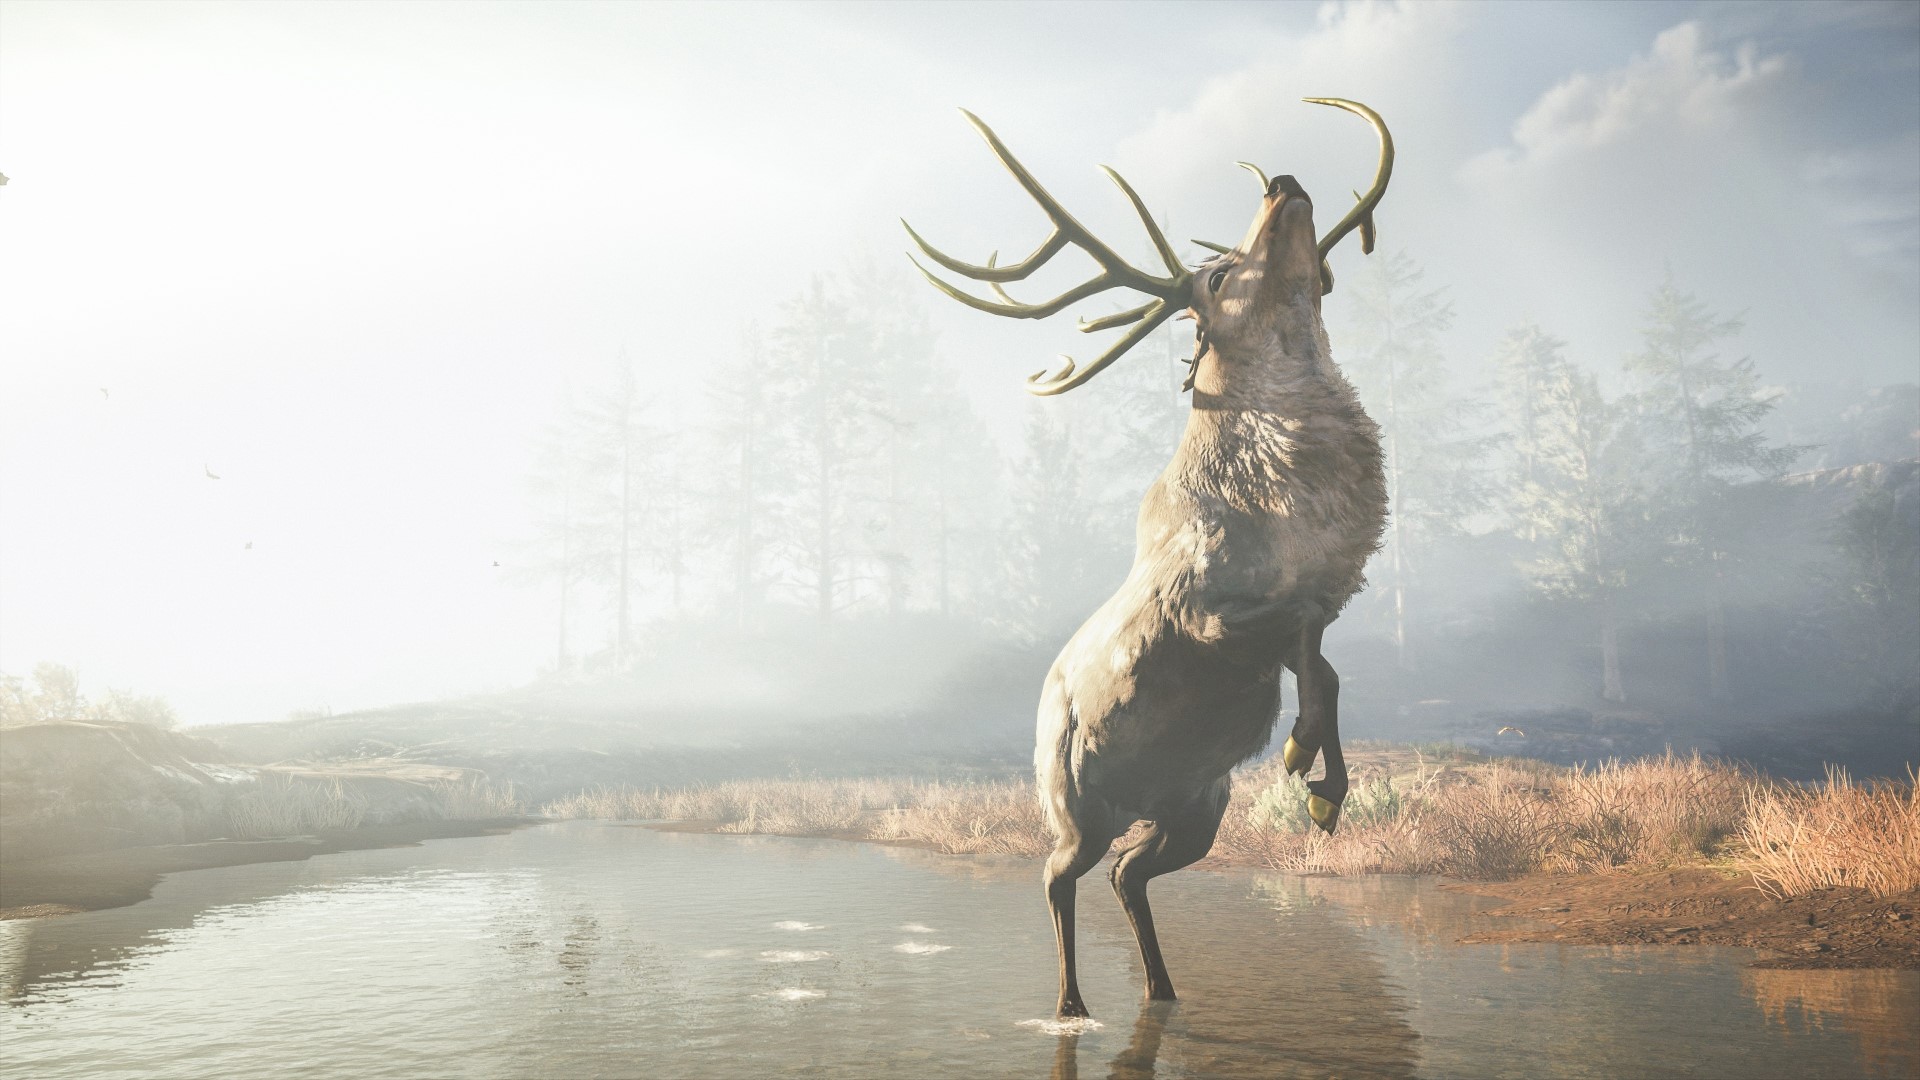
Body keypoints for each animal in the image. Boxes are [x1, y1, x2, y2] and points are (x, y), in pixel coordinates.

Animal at [903, 99, 1393, 1020]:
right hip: (1080, 802)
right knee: (1058, 874)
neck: (1293, 500)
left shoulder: (1311, 609)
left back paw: (1163, 991)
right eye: (1221, 275)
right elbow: (1307, 648)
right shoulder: (1206, 612)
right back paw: (1071, 1006)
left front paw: (1321, 787)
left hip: (1195, 808)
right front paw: (1303, 758)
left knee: (1131, 874)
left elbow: (1328, 666)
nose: (1283, 181)